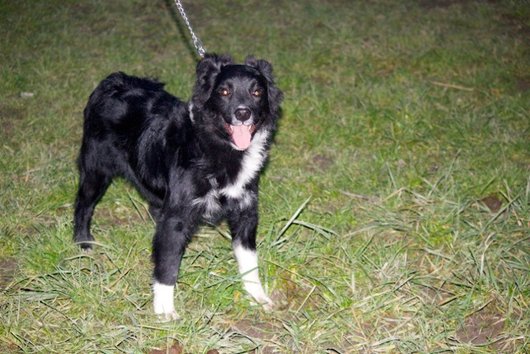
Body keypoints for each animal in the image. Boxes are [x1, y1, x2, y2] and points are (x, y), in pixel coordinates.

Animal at [73, 53, 282, 320]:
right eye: (224, 91)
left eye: (257, 92)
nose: (243, 113)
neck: (218, 147)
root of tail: (113, 81)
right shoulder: (177, 216)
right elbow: (168, 261)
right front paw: (164, 310)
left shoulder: (245, 210)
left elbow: (248, 259)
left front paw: (257, 296)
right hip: (96, 169)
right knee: (84, 204)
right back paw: (83, 243)